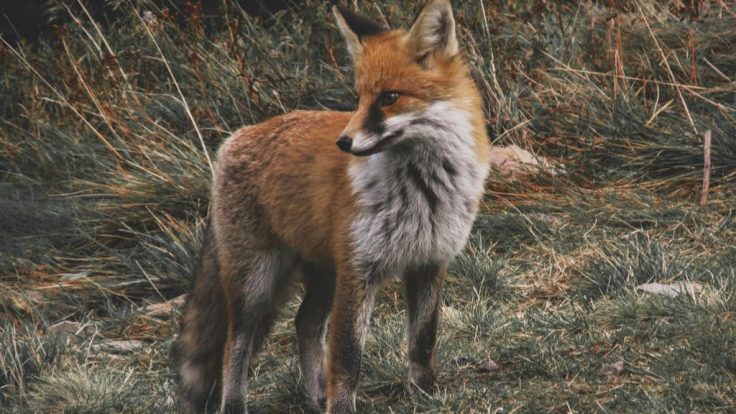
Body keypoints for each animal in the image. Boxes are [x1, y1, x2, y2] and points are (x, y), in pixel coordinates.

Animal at [172, 1, 492, 412]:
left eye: (389, 97)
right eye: (357, 98)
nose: (344, 142)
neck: (423, 190)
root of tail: (235, 138)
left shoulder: (430, 261)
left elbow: (423, 340)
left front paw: (424, 395)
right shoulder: (359, 270)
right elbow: (347, 356)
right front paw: (340, 406)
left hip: (323, 273)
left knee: (304, 323)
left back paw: (315, 396)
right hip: (256, 282)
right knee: (234, 345)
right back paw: (236, 404)